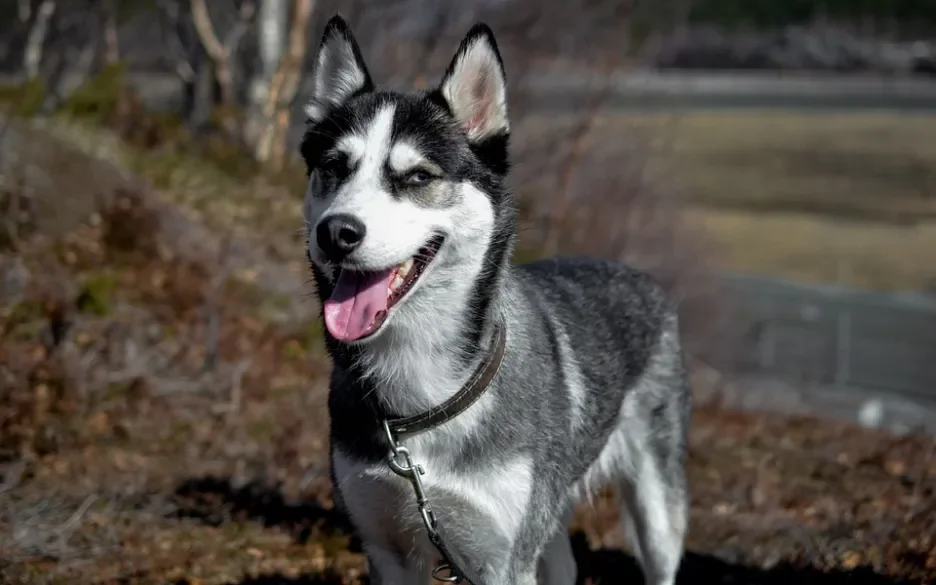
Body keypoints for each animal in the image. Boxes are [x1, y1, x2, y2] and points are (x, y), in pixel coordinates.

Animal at [304, 13, 692, 584]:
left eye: (418, 176)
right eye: (333, 166)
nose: (336, 232)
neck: (423, 398)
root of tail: (633, 273)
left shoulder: (499, 559)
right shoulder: (385, 545)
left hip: (657, 506)